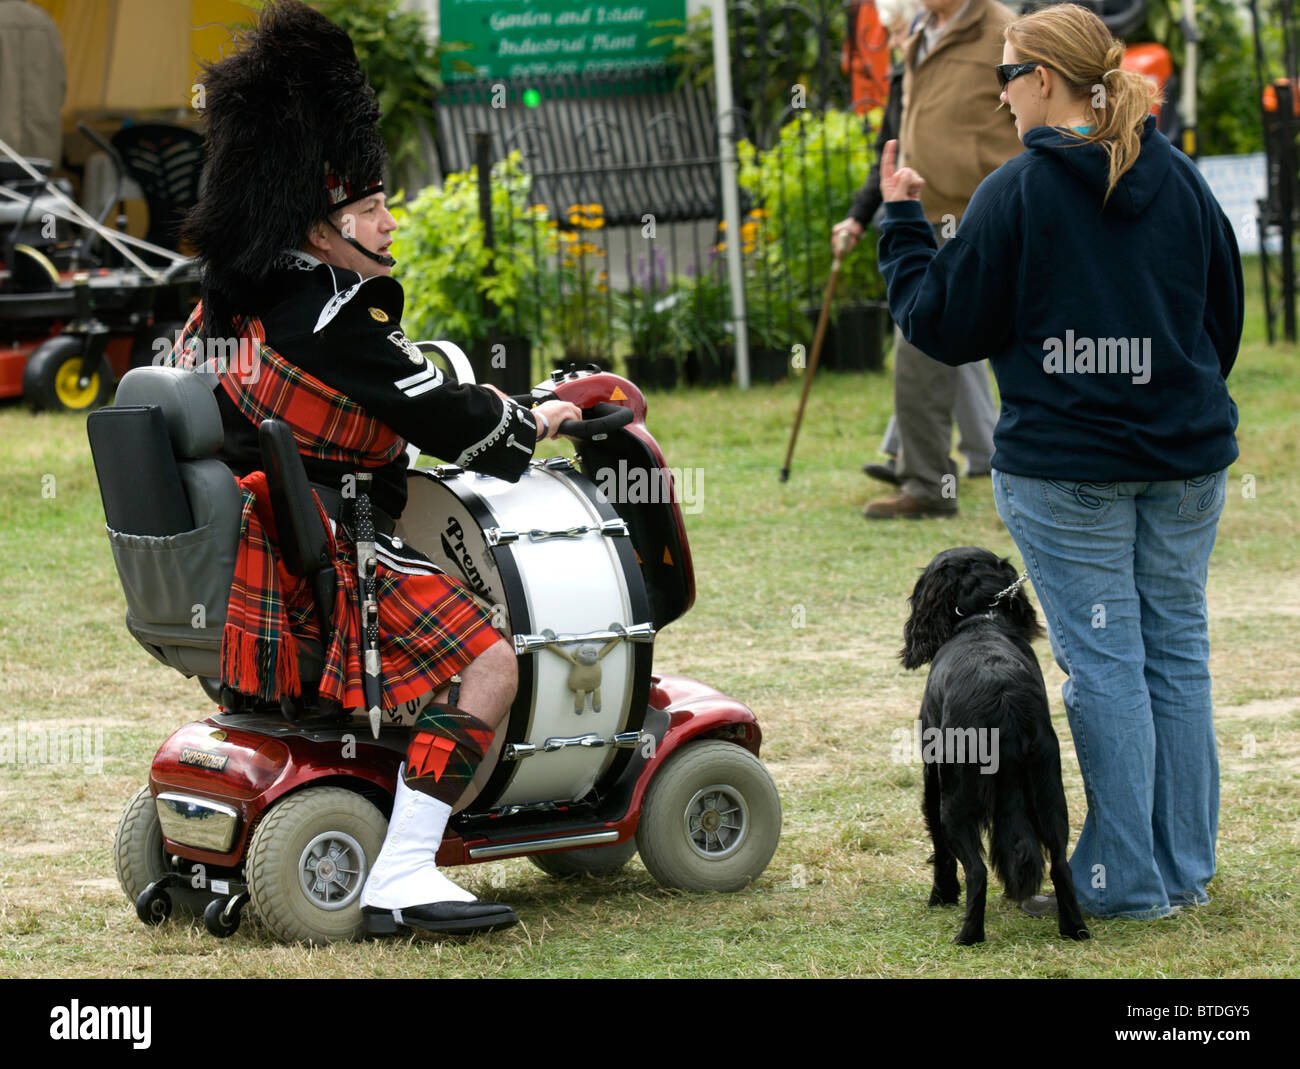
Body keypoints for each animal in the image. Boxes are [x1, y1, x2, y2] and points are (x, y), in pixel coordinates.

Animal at [904, 551, 1086, 946]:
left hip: (956, 800)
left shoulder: (932, 778)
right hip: (1050, 793)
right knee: (1060, 864)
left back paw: (967, 936)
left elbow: (939, 848)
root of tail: (1005, 702)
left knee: (976, 870)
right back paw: (1075, 929)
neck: (981, 619)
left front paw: (941, 896)